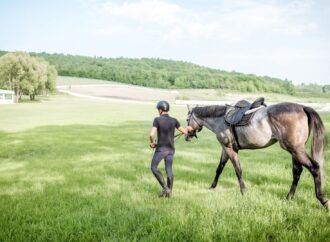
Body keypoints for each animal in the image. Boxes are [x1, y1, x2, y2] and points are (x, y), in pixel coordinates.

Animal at [184, 101, 328, 210]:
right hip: (295, 151)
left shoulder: (230, 149)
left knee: (315, 168)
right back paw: (288, 198)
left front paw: (244, 192)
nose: (187, 137)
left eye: (187, 119)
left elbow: (238, 170)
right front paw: (212, 187)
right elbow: (219, 168)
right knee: (297, 172)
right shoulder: (225, 149)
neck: (220, 119)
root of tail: (303, 107)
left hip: (296, 150)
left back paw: (323, 200)